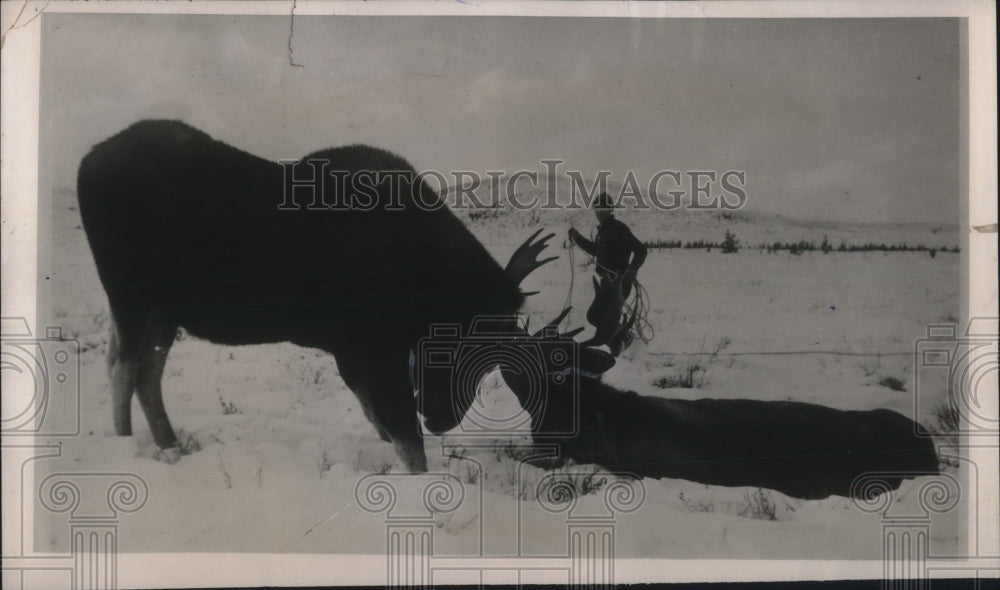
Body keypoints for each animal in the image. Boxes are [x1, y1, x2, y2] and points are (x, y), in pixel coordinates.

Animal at [80, 119, 556, 472]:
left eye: (493, 359)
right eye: (459, 343)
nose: (440, 417)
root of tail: (85, 161)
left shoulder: (351, 353)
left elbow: (382, 426)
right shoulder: (372, 350)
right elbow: (407, 442)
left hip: (163, 312)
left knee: (140, 371)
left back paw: (168, 445)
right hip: (131, 295)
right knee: (126, 367)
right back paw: (131, 448)